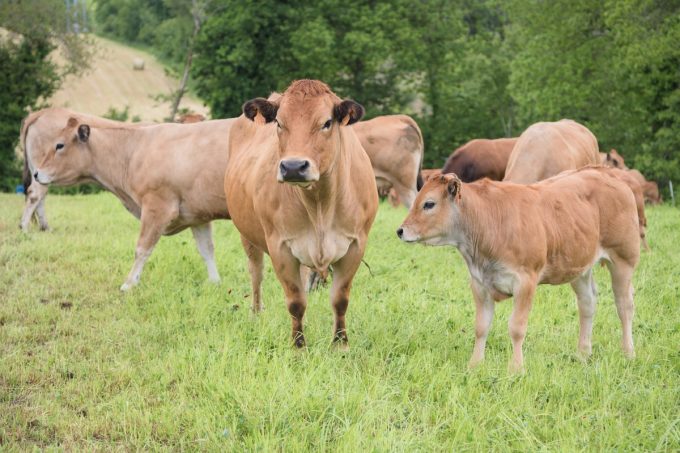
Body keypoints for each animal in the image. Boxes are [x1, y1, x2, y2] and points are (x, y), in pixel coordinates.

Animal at [27, 107, 235, 290]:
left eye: (59, 145)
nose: (36, 173)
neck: (132, 150)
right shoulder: (198, 214)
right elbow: (206, 249)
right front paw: (215, 282)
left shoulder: (157, 208)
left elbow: (142, 248)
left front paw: (129, 284)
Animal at [224, 80, 378, 348]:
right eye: (279, 122)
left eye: (326, 123)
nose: (293, 166)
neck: (319, 204)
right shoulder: (280, 247)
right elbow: (296, 302)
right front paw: (298, 345)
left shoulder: (355, 245)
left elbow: (340, 299)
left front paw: (340, 343)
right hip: (248, 236)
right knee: (256, 274)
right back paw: (256, 313)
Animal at [397, 167, 640, 371]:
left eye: (429, 204)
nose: (400, 231)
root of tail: (608, 174)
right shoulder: (479, 284)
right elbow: (481, 327)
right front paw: (475, 365)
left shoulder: (525, 281)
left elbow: (516, 328)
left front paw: (516, 368)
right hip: (579, 266)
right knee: (587, 304)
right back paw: (582, 353)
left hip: (623, 259)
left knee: (624, 305)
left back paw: (628, 352)